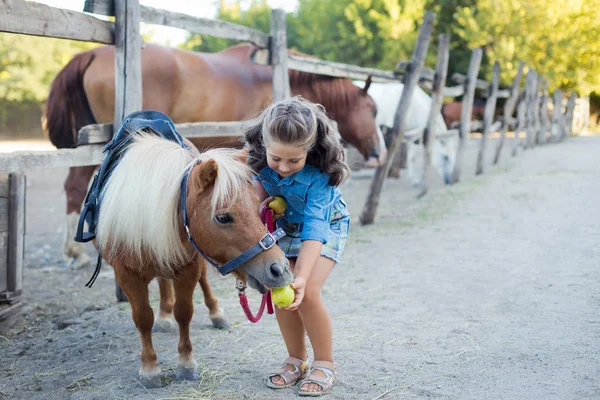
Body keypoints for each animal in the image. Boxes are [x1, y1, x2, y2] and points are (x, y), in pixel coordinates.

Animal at [92, 122, 292, 388]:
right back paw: (163, 316)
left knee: (202, 281)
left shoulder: (189, 267)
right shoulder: (126, 273)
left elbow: (184, 312)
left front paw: (186, 364)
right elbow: (143, 317)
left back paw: (215, 314)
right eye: (223, 217)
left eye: (256, 204)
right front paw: (150, 368)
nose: (279, 269)